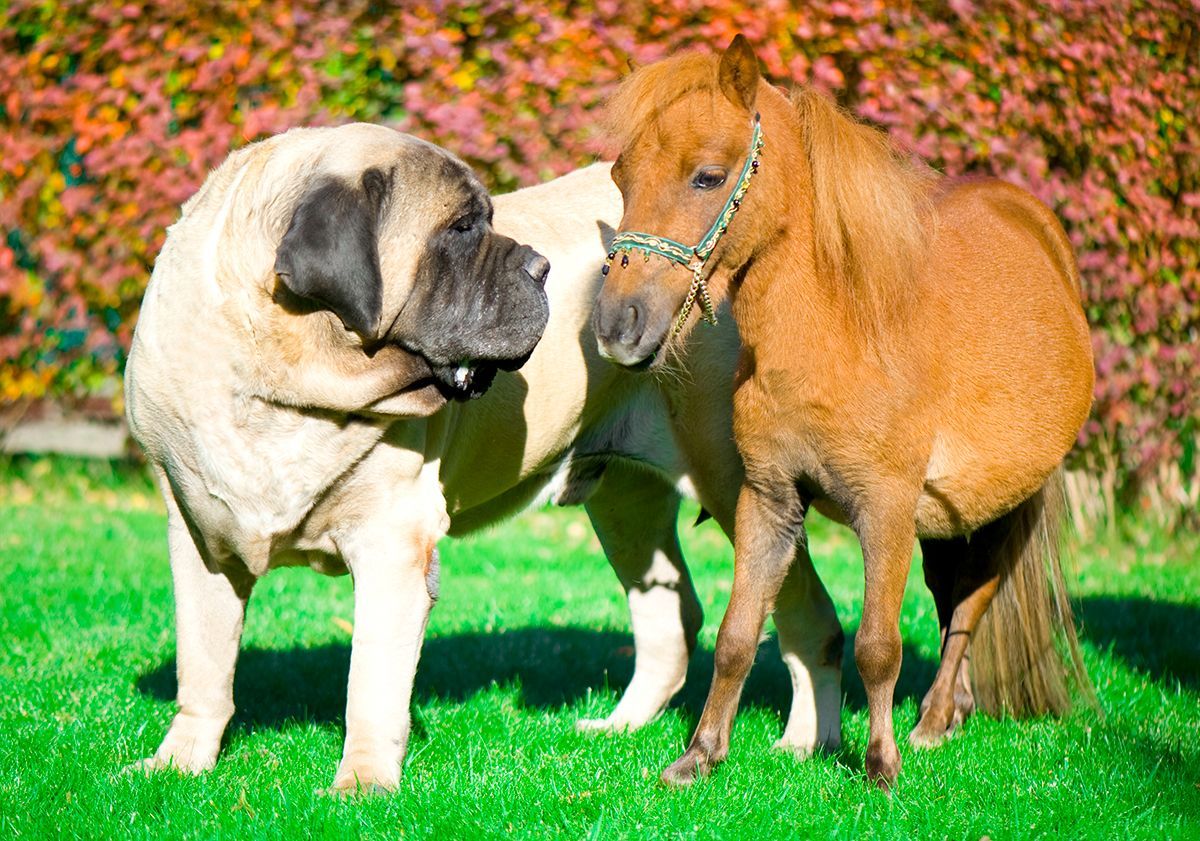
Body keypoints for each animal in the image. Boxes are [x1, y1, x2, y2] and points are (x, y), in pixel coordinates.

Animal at [124, 121, 844, 791]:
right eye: (462, 228)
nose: (539, 267)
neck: (285, 383)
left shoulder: (393, 544)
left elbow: (371, 683)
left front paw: (362, 783)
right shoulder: (199, 537)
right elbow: (203, 665)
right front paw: (178, 763)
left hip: (741, 489)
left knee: (809, 617)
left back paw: (803, 744)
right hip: (625, 502)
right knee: (668, 614)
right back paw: (618, 728)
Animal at [592, 36, 1099, 791]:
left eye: (707, 177)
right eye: (622, 176)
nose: (617, 325)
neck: (835, 334)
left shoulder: (884, 508)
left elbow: (878, 646)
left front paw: (880, 768)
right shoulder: (769, 501)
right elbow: (738, 636)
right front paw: (699, 756)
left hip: (1007, 503)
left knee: (973, 598)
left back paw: (931, 721)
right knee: (951, 595)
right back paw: (952, 711)